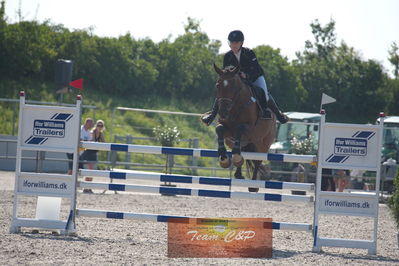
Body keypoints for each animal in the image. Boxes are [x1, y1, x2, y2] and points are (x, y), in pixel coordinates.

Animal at [214, 64, 276, 193]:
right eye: (218, 85)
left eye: (233, 87)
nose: (222, 112)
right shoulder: (228, 131)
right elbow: (219, 129)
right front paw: (223, 158)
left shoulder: (250, 129)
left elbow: (240, 128)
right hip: (245, 143)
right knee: (244, 153)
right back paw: (238, 172)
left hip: (263, 144)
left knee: (257, 161)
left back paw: (253, 186)